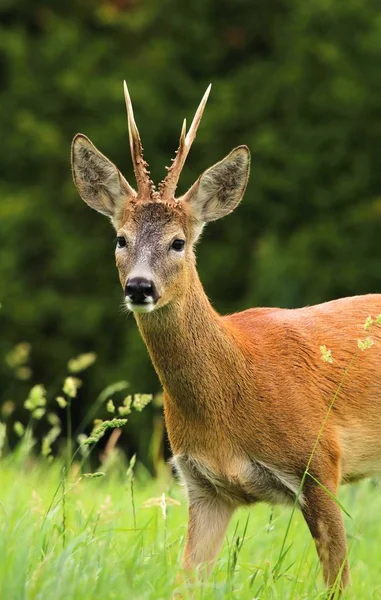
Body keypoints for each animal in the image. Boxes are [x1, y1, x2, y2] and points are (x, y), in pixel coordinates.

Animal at [71, 81, 380, 592]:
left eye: (178, 242)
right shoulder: (203, 486)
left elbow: (338, 581)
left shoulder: (321, 464)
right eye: (120, 238)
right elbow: (185, 581)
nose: (139, 287)